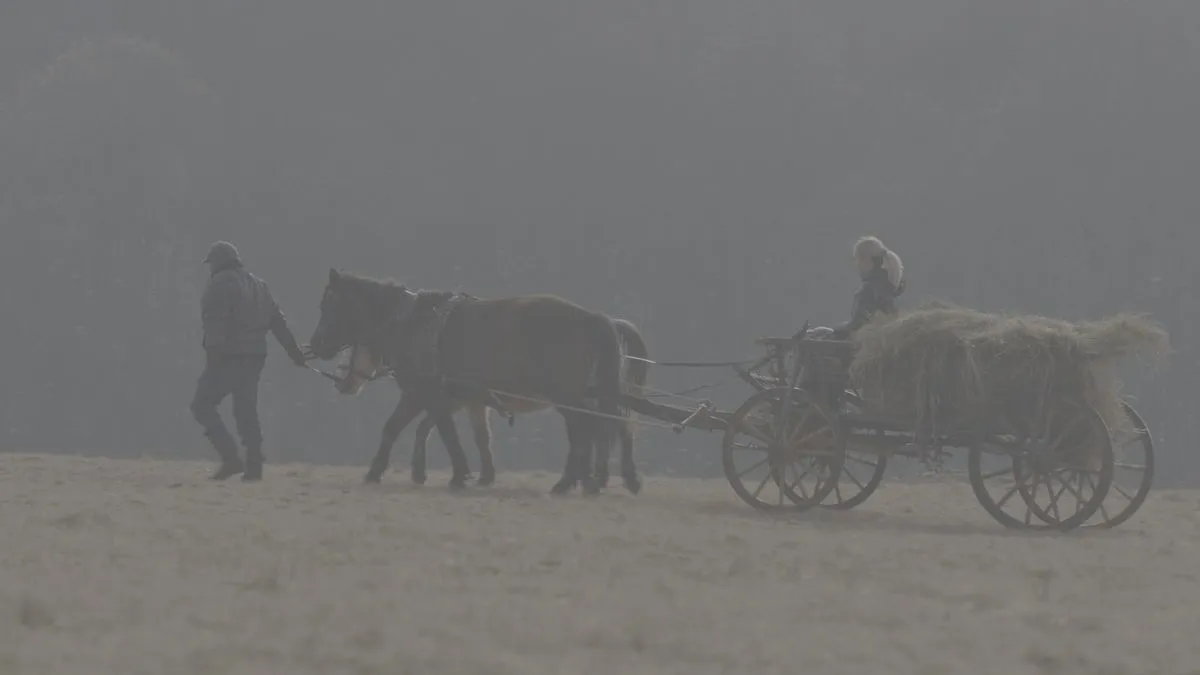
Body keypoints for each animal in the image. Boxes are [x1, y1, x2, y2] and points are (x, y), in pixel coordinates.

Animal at [304, 267, 633, 494]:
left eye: (328, 305)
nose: (315, 344)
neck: (411, 323)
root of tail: (589, 317)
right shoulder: (441, 398)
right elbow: (408, 428)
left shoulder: (421, 392)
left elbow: (436, 431)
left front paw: (459, 474)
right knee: (594, 427)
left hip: (565, 396)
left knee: (587, 429)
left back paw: (572, 481)